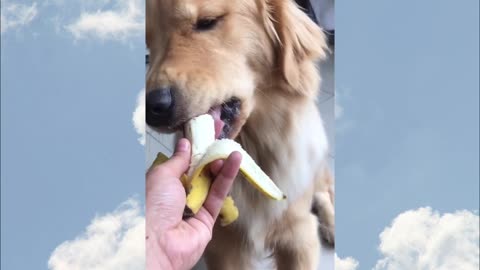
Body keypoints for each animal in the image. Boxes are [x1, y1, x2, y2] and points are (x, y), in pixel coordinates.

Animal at [144, 0, 336, 268]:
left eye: (207, 21)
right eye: (148, 43)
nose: (152, 109)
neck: (256, 146)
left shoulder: (299, 238)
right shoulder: (223, 246)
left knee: (324, 188)